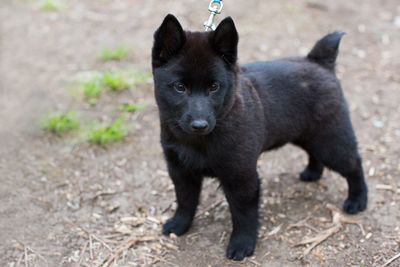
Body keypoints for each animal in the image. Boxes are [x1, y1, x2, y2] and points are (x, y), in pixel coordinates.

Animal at [151, 15, 368, 262]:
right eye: (179, 87)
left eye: (214, 87)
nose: (199, 125)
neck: (199, 142)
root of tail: (319, 63)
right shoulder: (180, 170)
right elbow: (185, 201)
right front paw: (179, 224)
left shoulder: (241, 177)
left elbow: (243, 214)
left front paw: (242, 244)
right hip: (307, 134)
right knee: (316, 154)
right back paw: (312, 173)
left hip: (330, 139)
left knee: (354, 164)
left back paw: (358, 200)